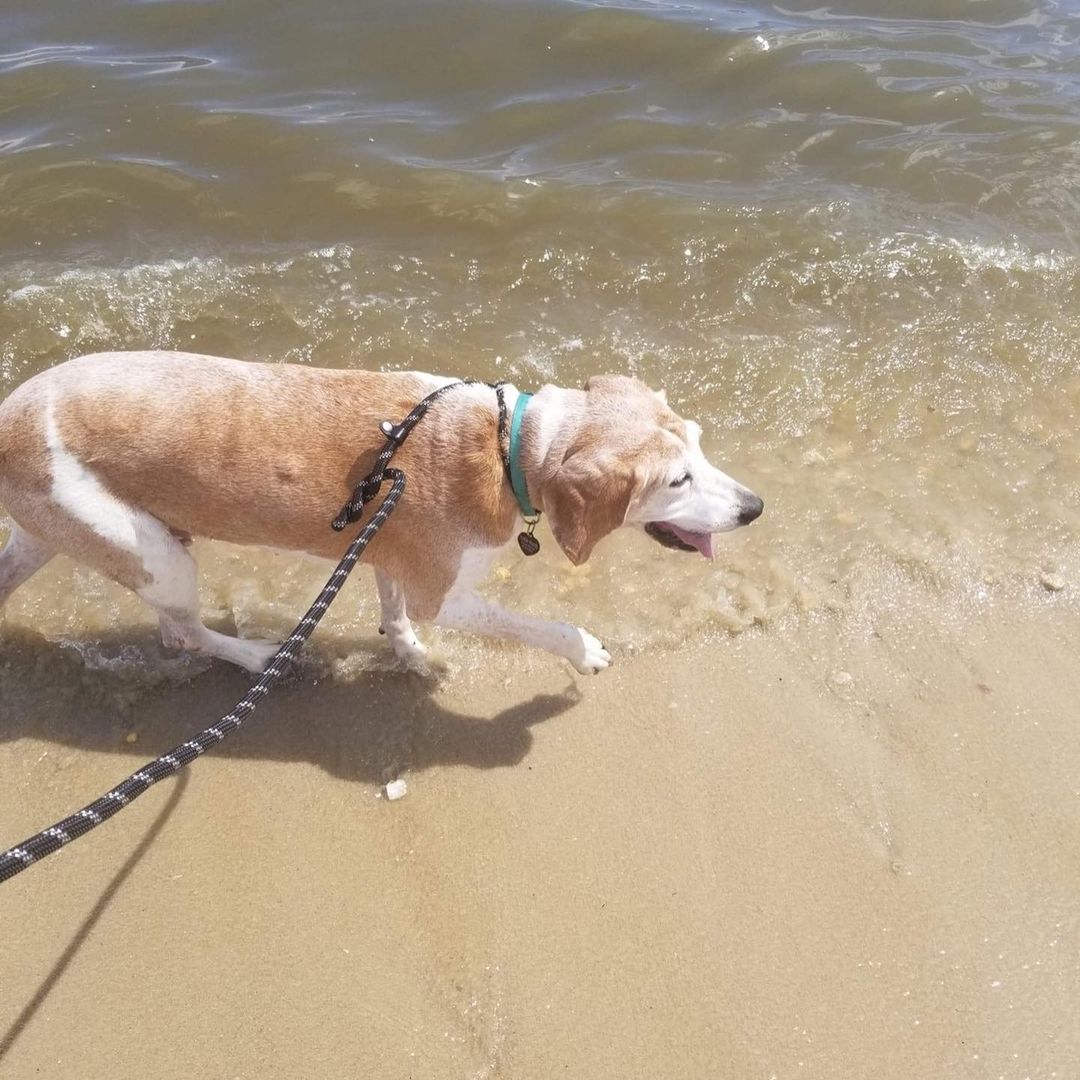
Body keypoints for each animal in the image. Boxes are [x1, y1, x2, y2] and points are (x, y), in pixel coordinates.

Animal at [0, 352, 764, 673]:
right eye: (676, 480)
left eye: (700, 442)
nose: (756, 507)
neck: (510, 447)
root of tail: (10, 418)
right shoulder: (443, 594)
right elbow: (541, 625)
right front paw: (583, 650)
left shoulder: (383, 544)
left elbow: (395, 615)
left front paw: (411, 657)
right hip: (154, 554)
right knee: (183, 635)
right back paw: (256, 657)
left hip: (68, 534)